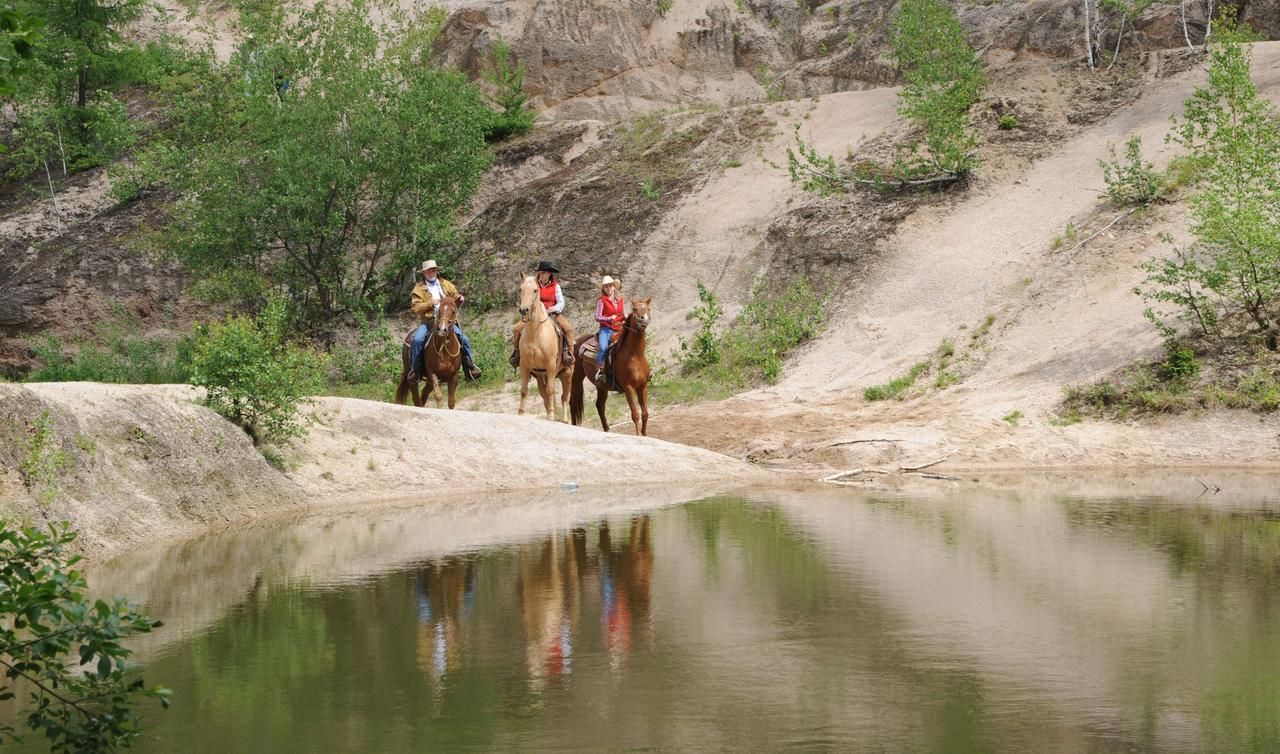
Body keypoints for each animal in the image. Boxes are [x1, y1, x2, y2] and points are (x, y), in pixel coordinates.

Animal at [514, 271, 570, 422]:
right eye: (520, 289)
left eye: (535, 290)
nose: (524, 310)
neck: (536, 332)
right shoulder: (525, 365)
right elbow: (524, 389)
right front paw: (521, 412)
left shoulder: (550, 365)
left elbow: (551, 390)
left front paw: (551, 414)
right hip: (540, 376)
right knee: (545, 394)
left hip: (567, 374)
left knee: (564, 397)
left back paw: (564, 419)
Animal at [570, 295, 650, 435]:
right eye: (635, 309)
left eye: (648, 309)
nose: (643, 320)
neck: (635, 356)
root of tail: (579, 342)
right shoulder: (628, 388)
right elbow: (635, 414)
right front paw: (638, 434)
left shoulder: (642, 387)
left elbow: (645, 414)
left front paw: (645, 435)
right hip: (576, 379)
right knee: (573, 403)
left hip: (601, 386)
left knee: (599, 405)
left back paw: (607, 429)